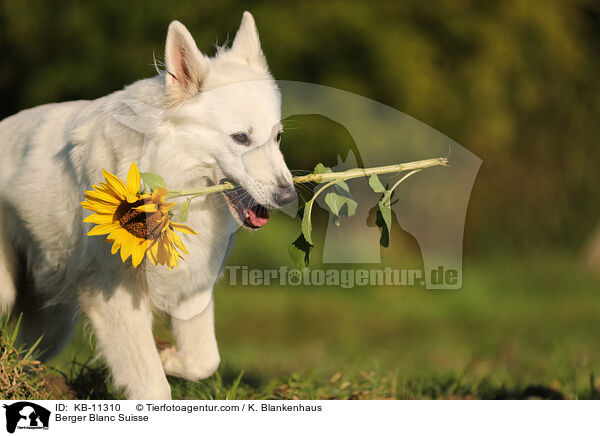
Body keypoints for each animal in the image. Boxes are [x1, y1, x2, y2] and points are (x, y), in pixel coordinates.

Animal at [0, 11, 296, 398]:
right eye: (241, 138)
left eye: (277, 137)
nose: (289, 196)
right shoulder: (113, 298)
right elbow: (153, 386)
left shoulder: (190, 284)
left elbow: (204, 361)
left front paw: (167, 355)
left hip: (51, 323)